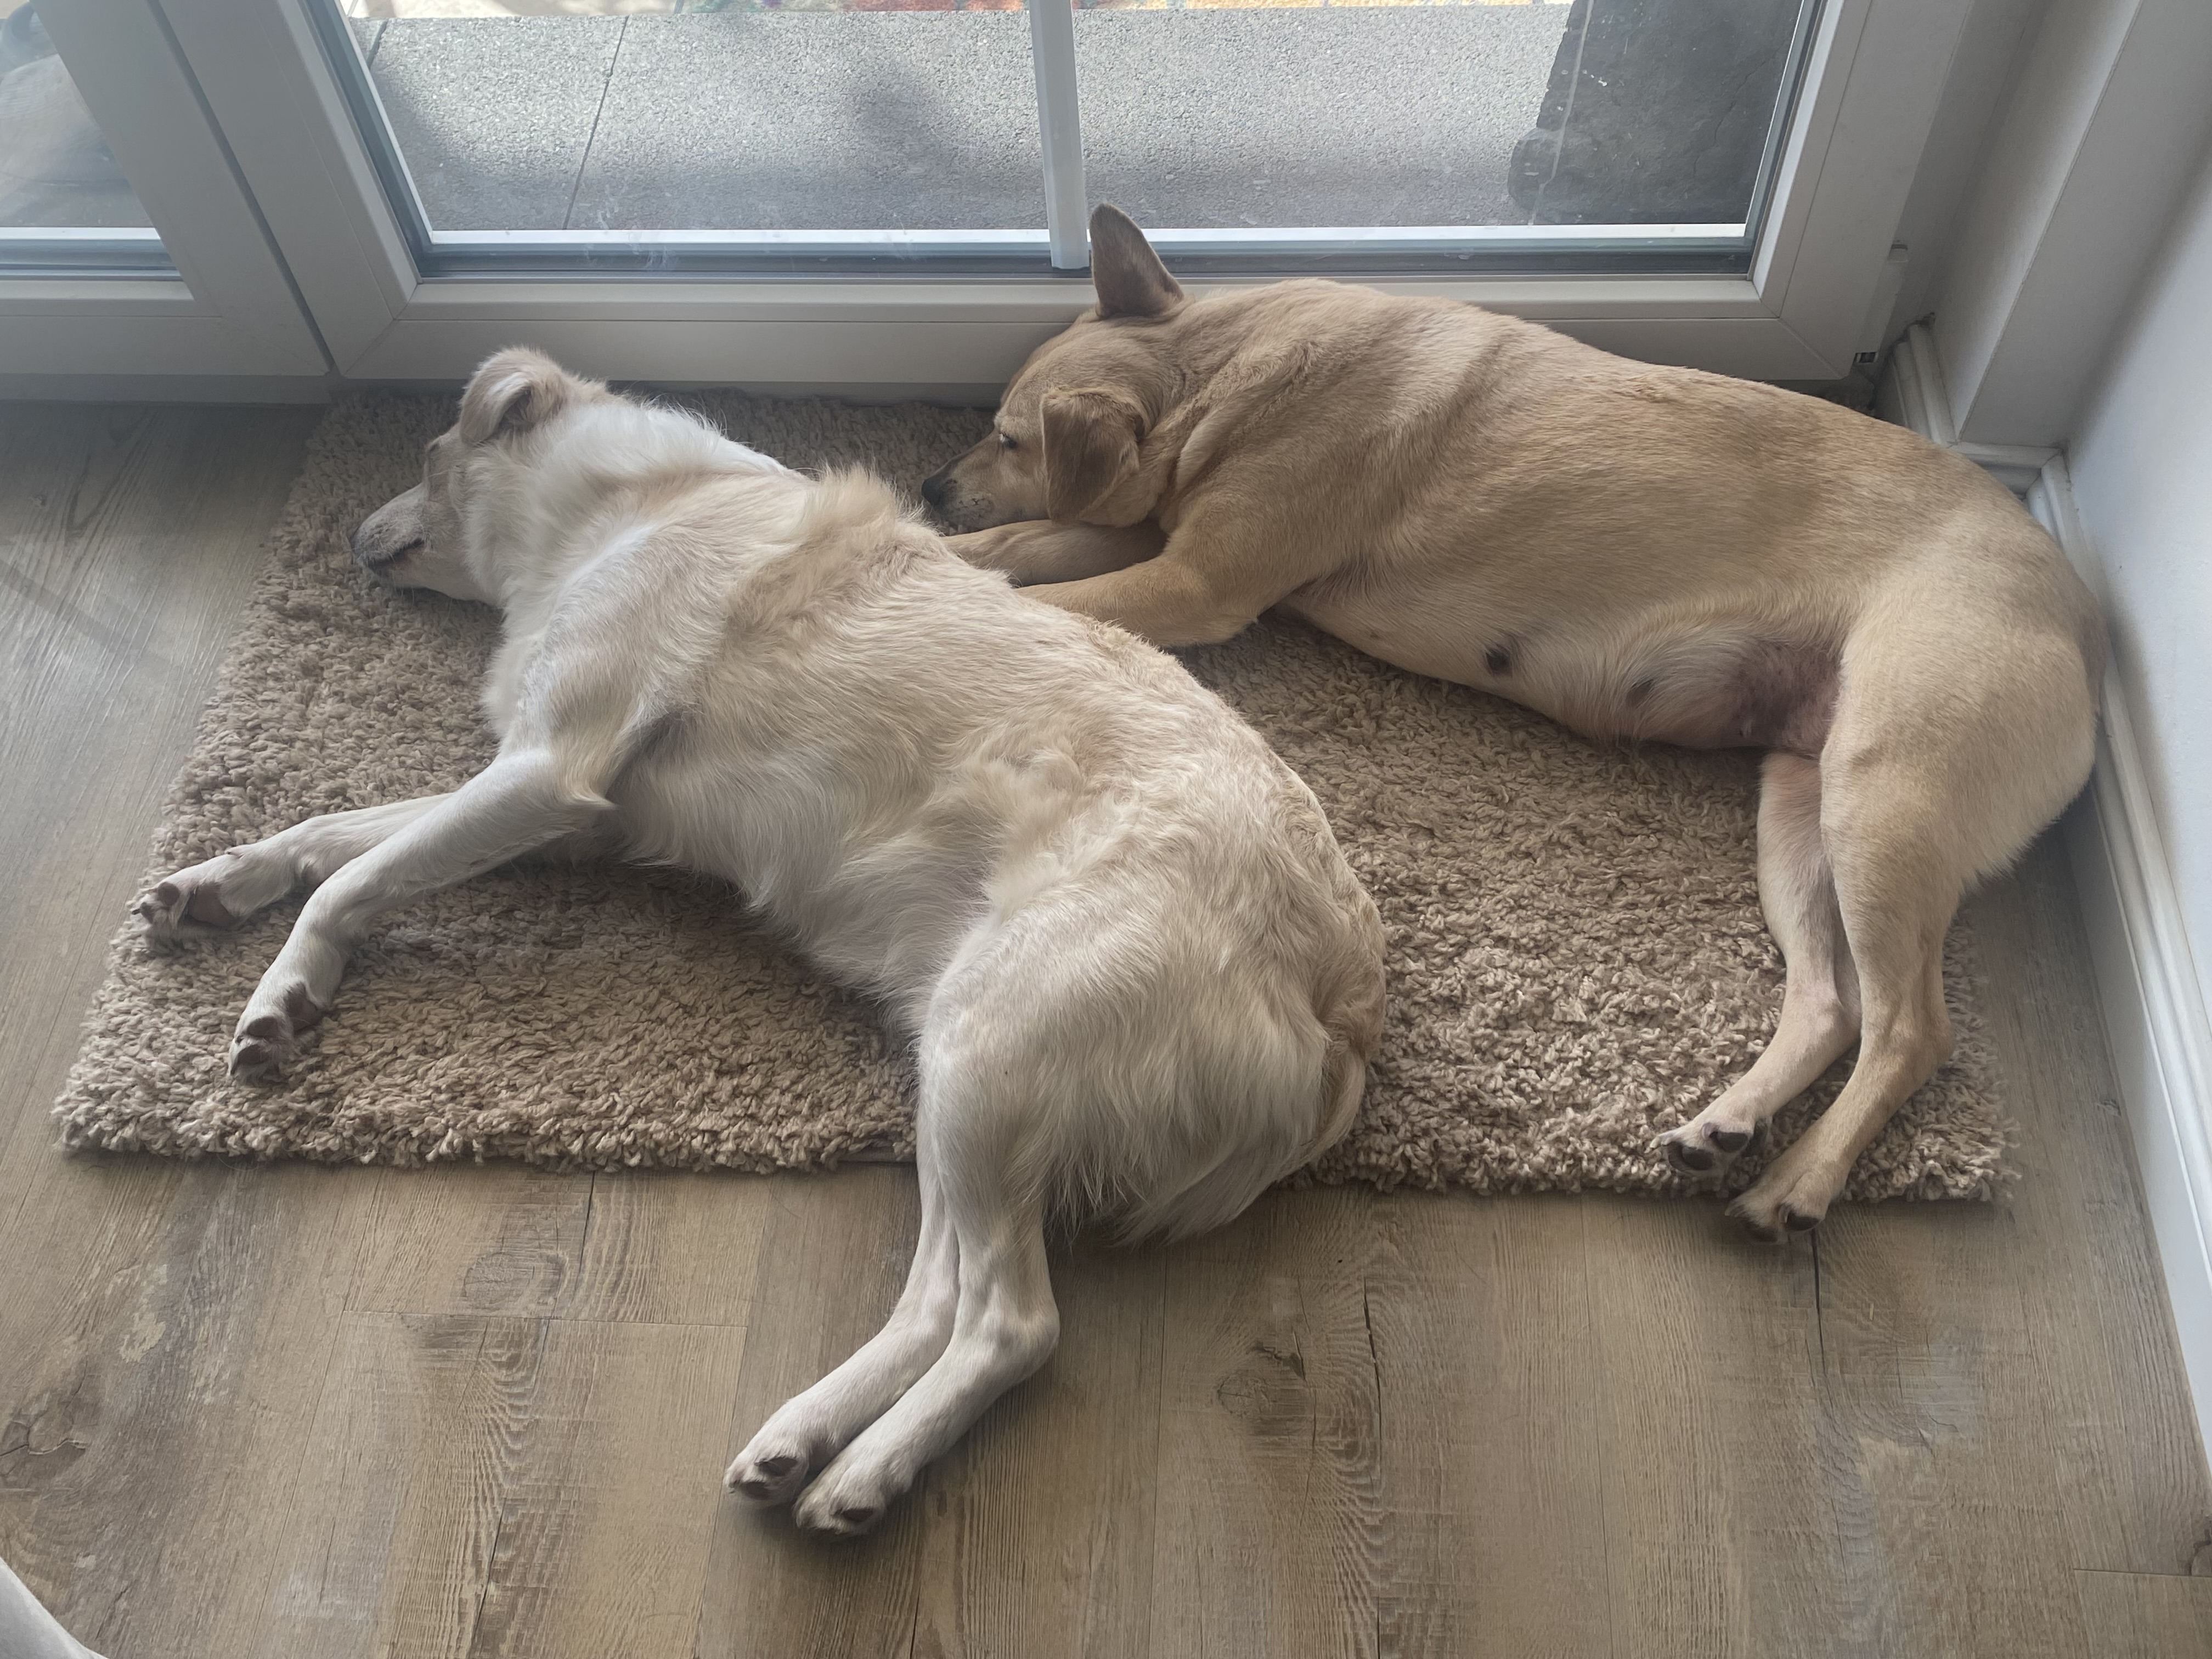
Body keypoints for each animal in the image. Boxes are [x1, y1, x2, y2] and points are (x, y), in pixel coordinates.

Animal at [135, 348, 1386, 1533]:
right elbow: (332, 835)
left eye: (428, 455)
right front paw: (214, 884)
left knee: (1014, 1325)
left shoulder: (547, 771)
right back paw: (804, 1438)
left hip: (992, 1048)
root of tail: (1338, 995)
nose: (348, 533)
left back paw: (867, 1473)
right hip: (961, 1076)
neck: (628, 506)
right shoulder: (566, 814)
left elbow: (350, 877)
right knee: (940, 1303)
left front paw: (281, 995)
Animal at [924, 204, 2105, 1240]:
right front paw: (933, 545)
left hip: (1881, 799)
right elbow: (1022, 548)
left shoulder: (1194, 581)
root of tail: (2082, 617)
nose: (933, 482)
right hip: (1797, 810)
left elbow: (1054, 588)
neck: (1218, 372)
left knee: (1909, 1029)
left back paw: (1801, 1180)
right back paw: (1728, 1125)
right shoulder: (1155, 542)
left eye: (1006, 435)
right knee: (1832, 1003)